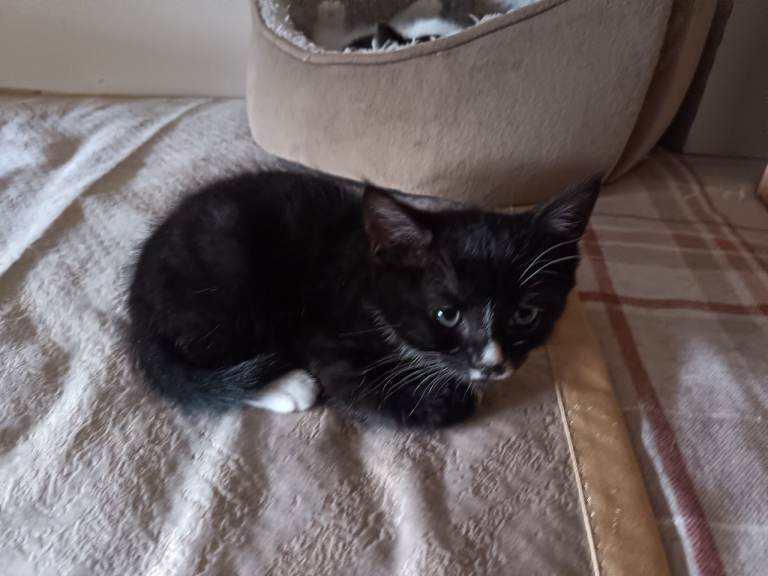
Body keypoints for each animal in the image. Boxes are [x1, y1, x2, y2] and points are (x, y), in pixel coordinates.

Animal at [127, 171, 599, 429]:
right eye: (446, 315)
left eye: (525, 314)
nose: (493, 364)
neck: (373, 283)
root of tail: (138, 300)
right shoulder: (330, 337)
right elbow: (375, 391)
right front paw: (460, 394)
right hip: (229, 277)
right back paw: (288, 385)